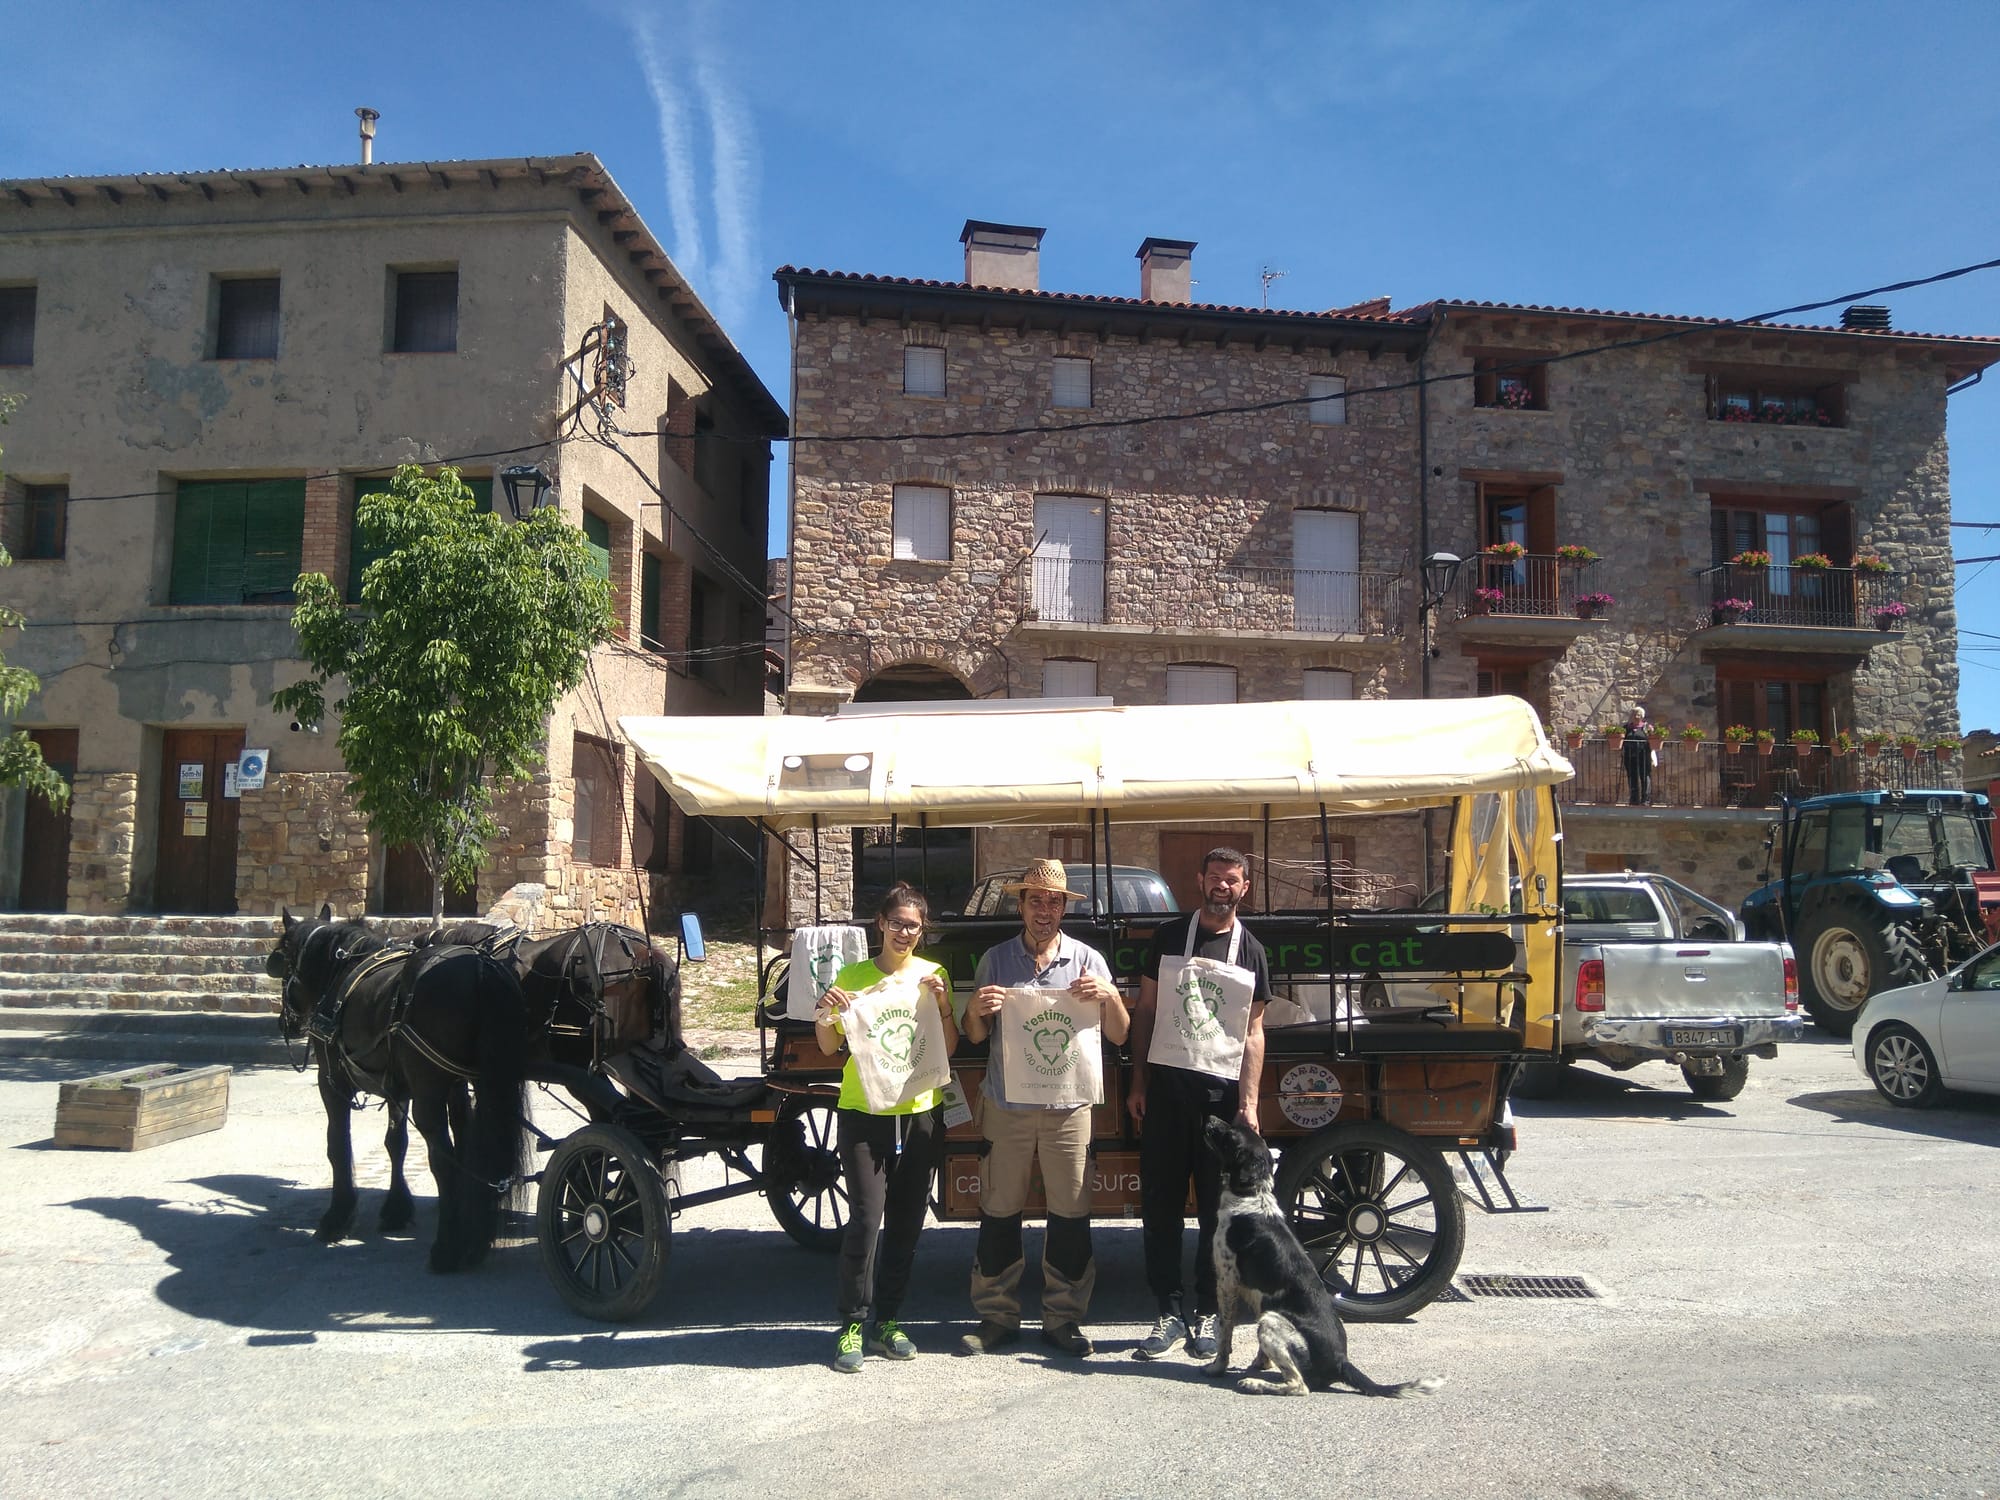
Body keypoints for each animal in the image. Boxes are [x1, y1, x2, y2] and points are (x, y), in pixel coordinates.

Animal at [268, 912, 532, 1272]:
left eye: (282, 961)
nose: (286, 1024)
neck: (343, 969)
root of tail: (480, 967)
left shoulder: (331, 1081)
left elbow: (337, 1145)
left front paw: (337, 1216)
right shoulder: (403, 1086)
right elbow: (397, 1143)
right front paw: (396, 1208)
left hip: (428, 1092)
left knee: (443, 1158)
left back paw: (448, 1249)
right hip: (482, 1081)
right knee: (479, 1147)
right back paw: (475, 1237)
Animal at [1192, 1120, 1448, 1400]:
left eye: (1230, 1135)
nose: (1210, 1118)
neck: (1251, 1196)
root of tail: (1341, 1361)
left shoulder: (1227, 1281)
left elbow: (1225, 1332)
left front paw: (1217, 1367)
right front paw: (1260, 1362)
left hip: (1271, 1321)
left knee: (1299, 1385)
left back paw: (1254, 1384)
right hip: (1269, 1318)